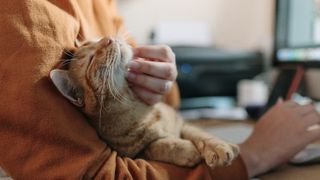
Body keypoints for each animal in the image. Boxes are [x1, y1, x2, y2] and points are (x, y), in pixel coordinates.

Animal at [50, 37, 239, 168]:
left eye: (95, 40)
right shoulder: (134, 154)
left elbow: (202, 135)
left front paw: (219, 148)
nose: (108, 38)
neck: (138, 109)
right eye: (90, 59)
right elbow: (157, 145)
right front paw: (187, 150)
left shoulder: (182, 123)